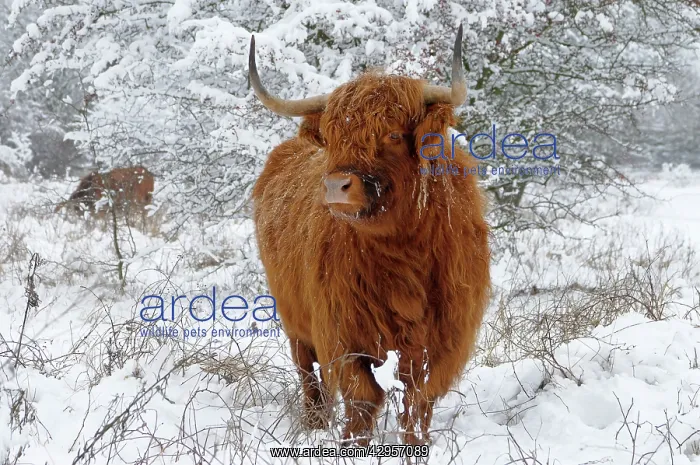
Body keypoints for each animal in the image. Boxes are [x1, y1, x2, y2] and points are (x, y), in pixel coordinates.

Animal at [249, 26, 490, 446]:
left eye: (392, 134)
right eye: (332, 135)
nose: (336, 186)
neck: (402, 252)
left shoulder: (443, 338)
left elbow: (418, 399)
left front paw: (417, 445)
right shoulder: (340, 332)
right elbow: (362, 398)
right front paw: (350, 444)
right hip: (294, 322)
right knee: (309, 379)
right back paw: (315, 424)